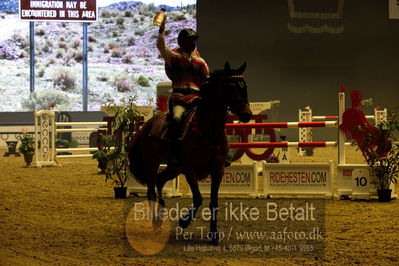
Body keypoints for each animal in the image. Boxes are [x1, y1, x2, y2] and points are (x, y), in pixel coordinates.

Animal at [130, 61, 252, 244]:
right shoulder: (189, 170)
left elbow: (213, 202)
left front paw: (214, 235)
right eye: (231, 86)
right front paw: (184, 221)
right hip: (152, 163)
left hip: (173, 168)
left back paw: (160, 217)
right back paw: (155, 224)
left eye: (244, 85)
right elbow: (198, 198)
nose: (246, 114)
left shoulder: (217, 170)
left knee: (160, 180)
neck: (208, 130)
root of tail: (147, 125)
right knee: (151, 191)